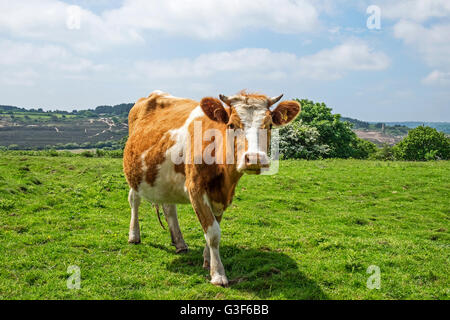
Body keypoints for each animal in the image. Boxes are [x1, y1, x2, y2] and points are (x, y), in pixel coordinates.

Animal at [122, 89, 302, 286]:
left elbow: (214, 227)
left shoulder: (221, 196)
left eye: (269, 125)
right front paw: (218, 274)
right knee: (134, 201)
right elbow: (213, 233)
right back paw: (134, 236)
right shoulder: (195, 189)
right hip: (134, 175)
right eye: (231, 125)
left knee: (169, 208)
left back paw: (179, 243)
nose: (254, 159)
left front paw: (207, 260)